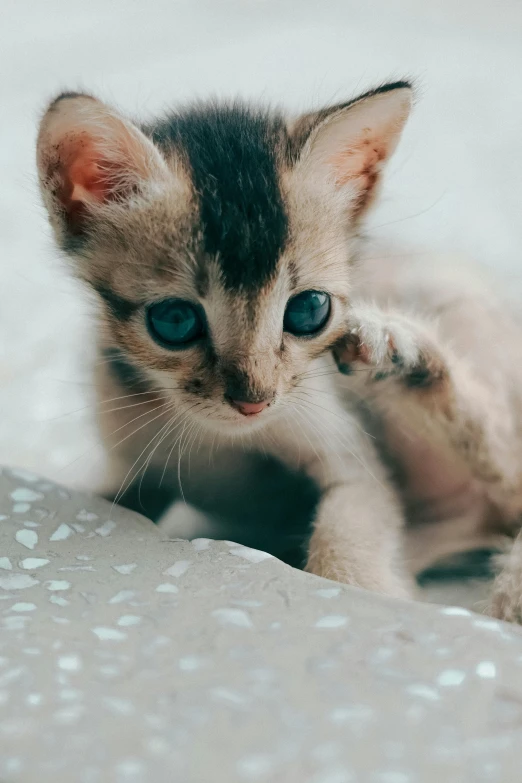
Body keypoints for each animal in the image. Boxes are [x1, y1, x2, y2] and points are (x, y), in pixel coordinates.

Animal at [37, 81, 522, 620]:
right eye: (174, 321)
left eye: (310, 310)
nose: (254, 401)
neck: (217, 439)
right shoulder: (130, 461)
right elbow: (107, 498)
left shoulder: (349, 453)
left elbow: (346, 548)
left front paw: (356, 594)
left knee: (505, 463)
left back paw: (400, 359)